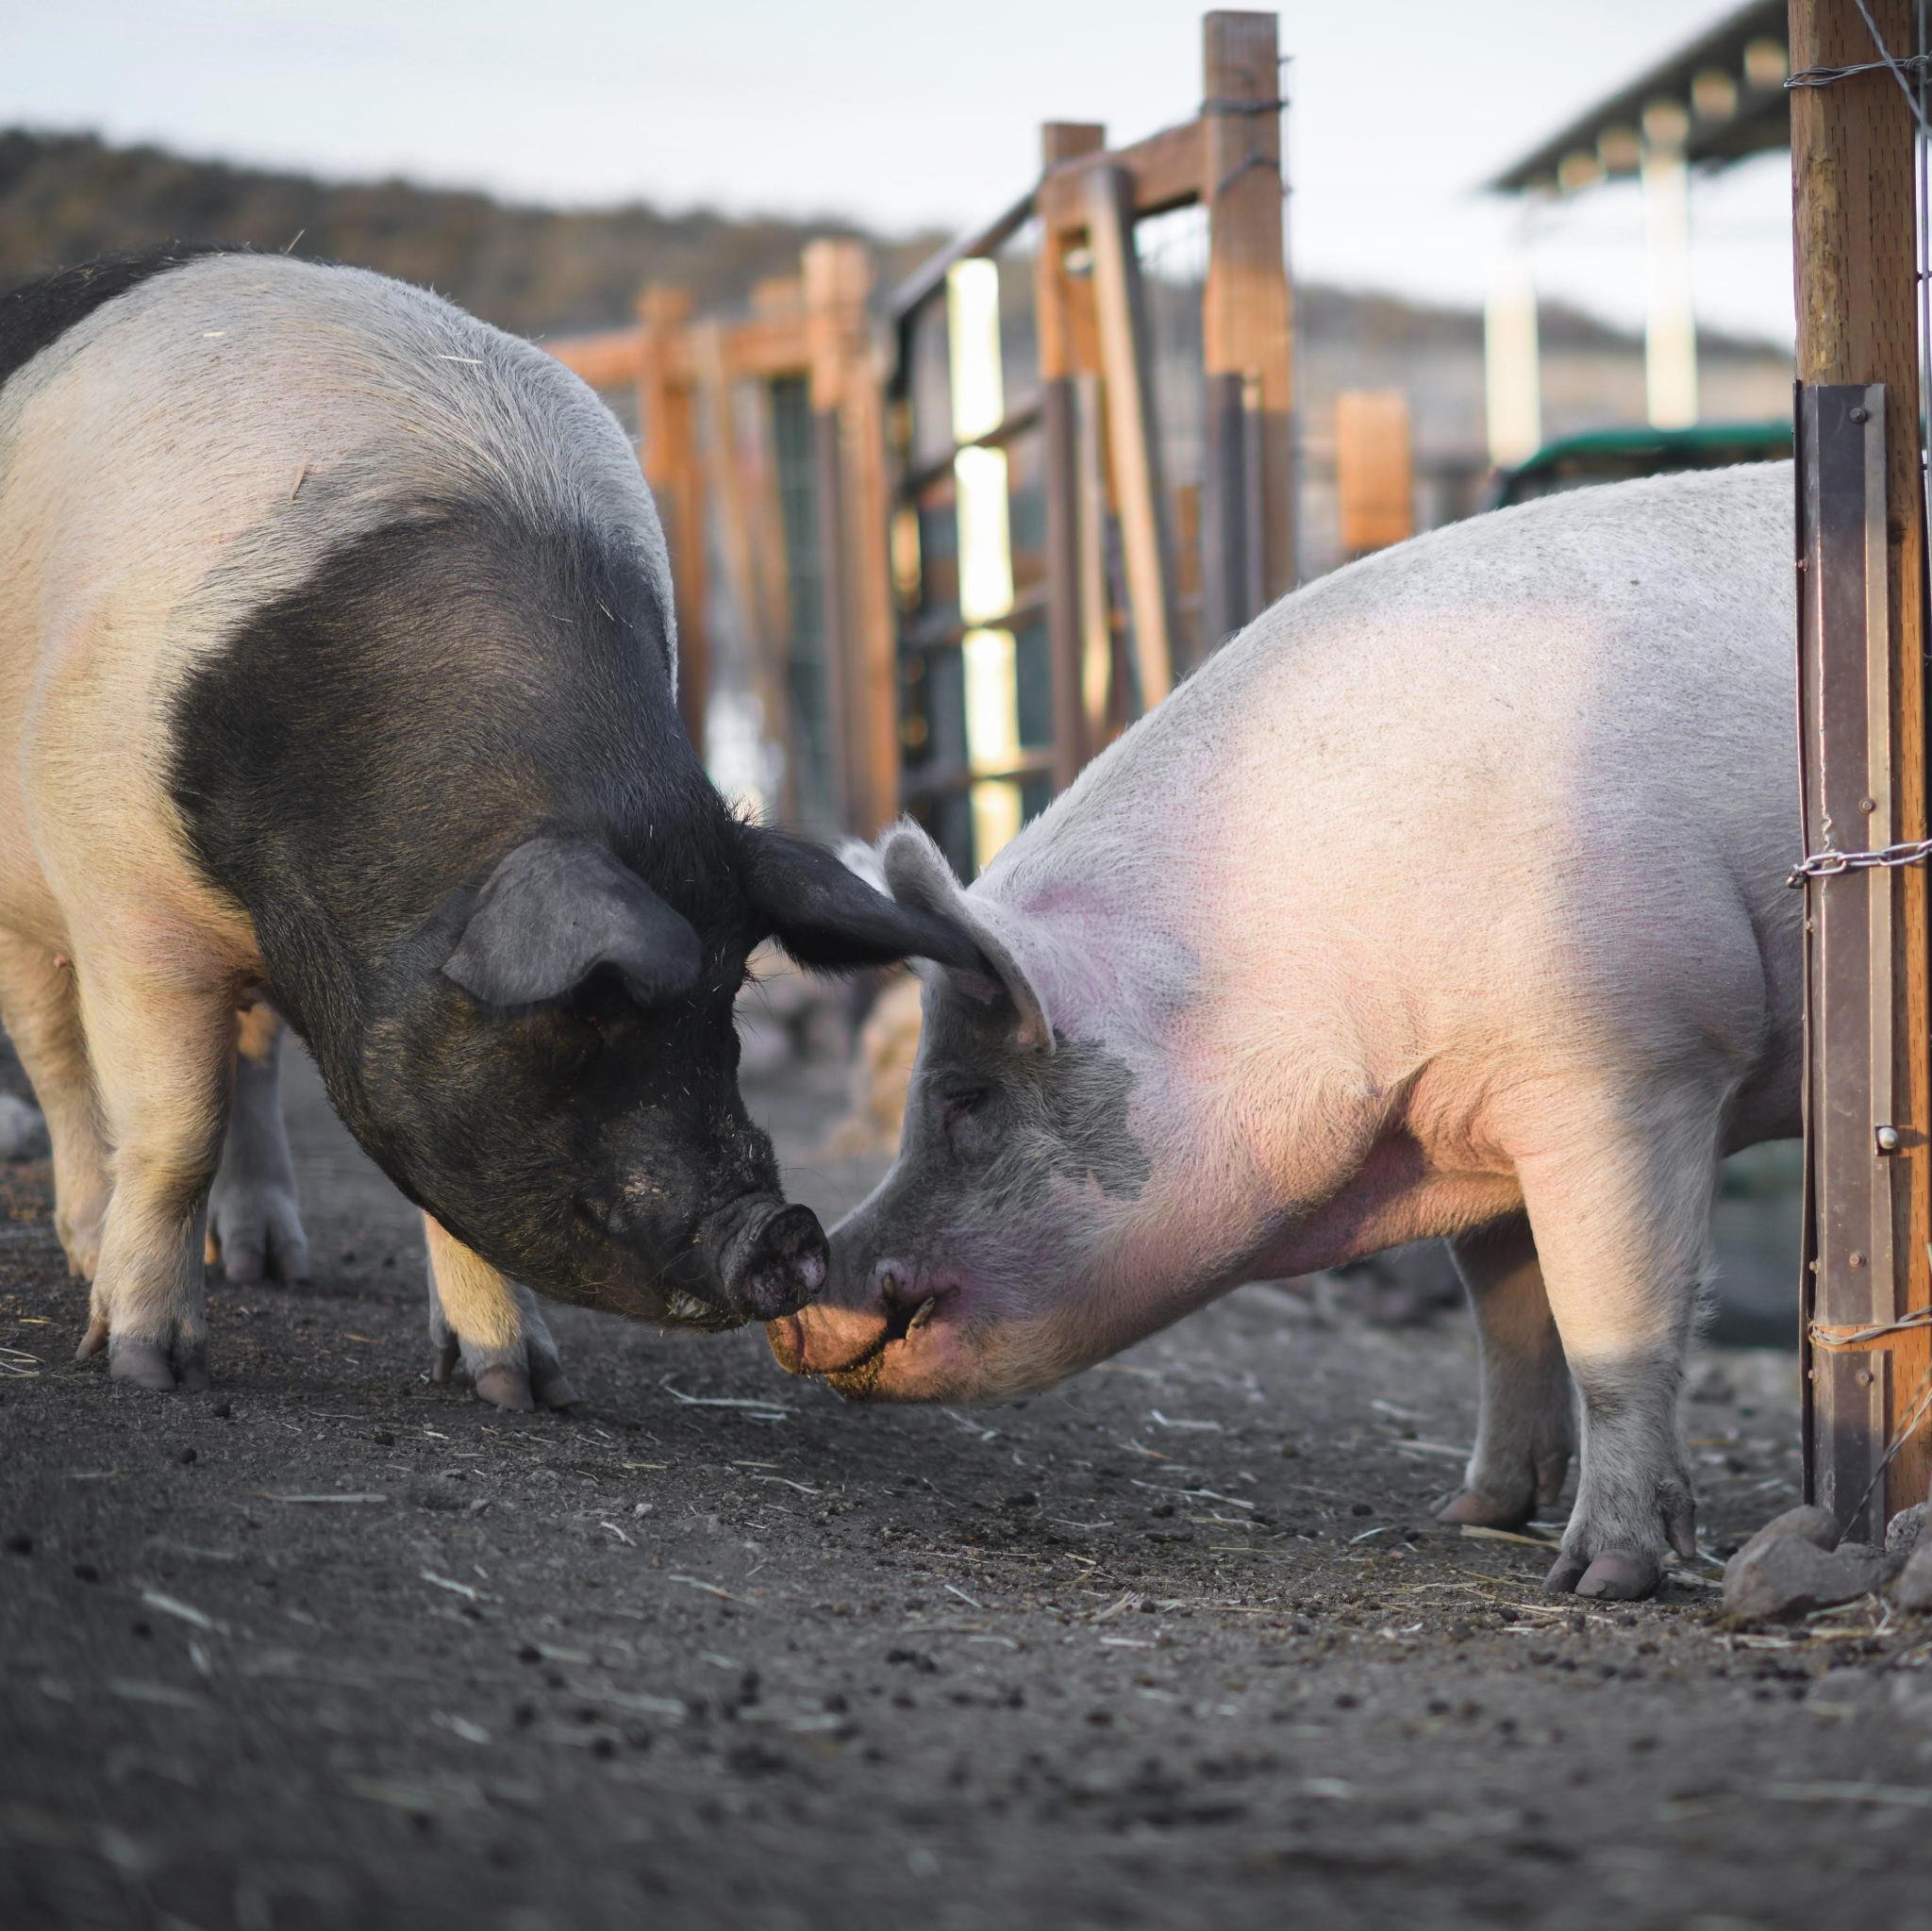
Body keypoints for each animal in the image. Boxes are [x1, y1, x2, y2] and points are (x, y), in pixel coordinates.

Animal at [0, 246, 971, 1401]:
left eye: (732, 993)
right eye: (592, 1005)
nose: (783, 1232)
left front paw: (519, 1386)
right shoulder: (129, 909)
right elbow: (173, 1131)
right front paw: (148, 1367)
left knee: (251, 1059)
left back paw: (269, 1262)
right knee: (59, 1061)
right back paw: (89, 1253)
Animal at [772, 461, 1802, 1600]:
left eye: (965, 1097)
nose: (799, 1290)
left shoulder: (1635, 1065)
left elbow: (1611, 1338)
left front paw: (1597, 1580)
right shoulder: (1482, 1122)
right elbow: (1506, 1325)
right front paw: (1464, 1514)